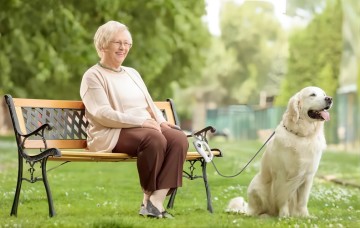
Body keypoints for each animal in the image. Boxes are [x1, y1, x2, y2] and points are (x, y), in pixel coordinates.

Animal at [226, 86, 334, 217]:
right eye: (312, 95)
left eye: (324, 94)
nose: (329, 99)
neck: (301, 135)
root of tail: (248, 208)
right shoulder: (282, 174)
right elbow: (283, 197)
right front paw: (284, 215)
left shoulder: (308, 176)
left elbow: (302, 201)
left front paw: (305, 216)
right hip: (257, 186)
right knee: (257, 211)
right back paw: (264, 215)